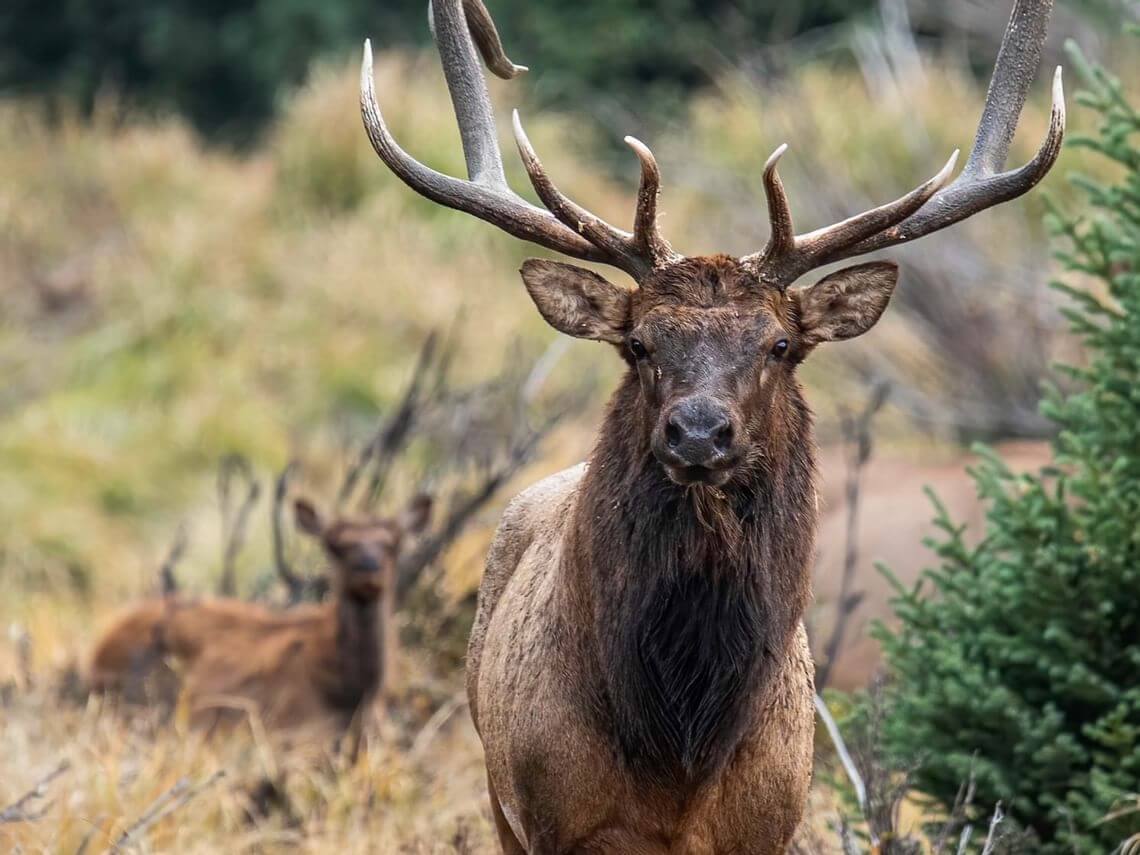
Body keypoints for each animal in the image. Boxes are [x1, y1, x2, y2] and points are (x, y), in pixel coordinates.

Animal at [89, 493, 431, 738]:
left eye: (394, 542)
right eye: (333, 545)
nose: (368, 568)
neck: (355, 692)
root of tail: (98, 648)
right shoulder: (290, 729)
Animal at [359, 0, 1064, 850]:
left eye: (780, 344)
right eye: (638, 343)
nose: (698, 432)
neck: (682, 755)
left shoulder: (771, 820)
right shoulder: (555, 817)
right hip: (499, 799)